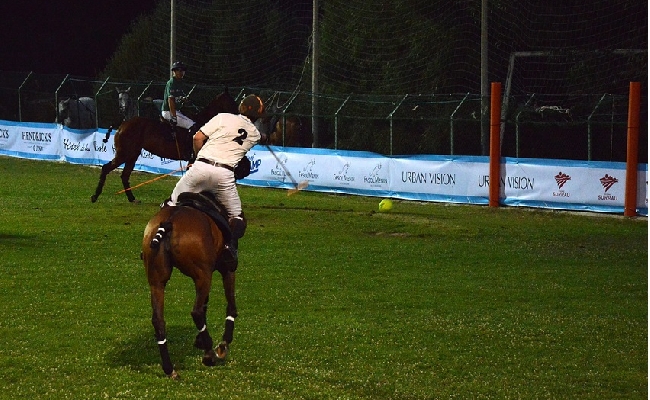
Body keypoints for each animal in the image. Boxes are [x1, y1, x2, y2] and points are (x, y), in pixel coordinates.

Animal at [88, 90, 235, 203]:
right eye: (231, 101)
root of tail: (123, 124)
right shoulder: (194, 158)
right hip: (124, 153)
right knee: (106, 168)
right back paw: (95, 196)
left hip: (132, 154)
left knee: (124, 175)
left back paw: (132, 198)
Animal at [142, 192, 240, 380]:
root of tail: (169, 222)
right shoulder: (226, 269)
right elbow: (231, 306)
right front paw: (223, 344)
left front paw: (199, 340)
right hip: (203, 275)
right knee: (196, 312)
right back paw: (209, 354)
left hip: (157, 280)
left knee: (158, 320)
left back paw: (169, 368)